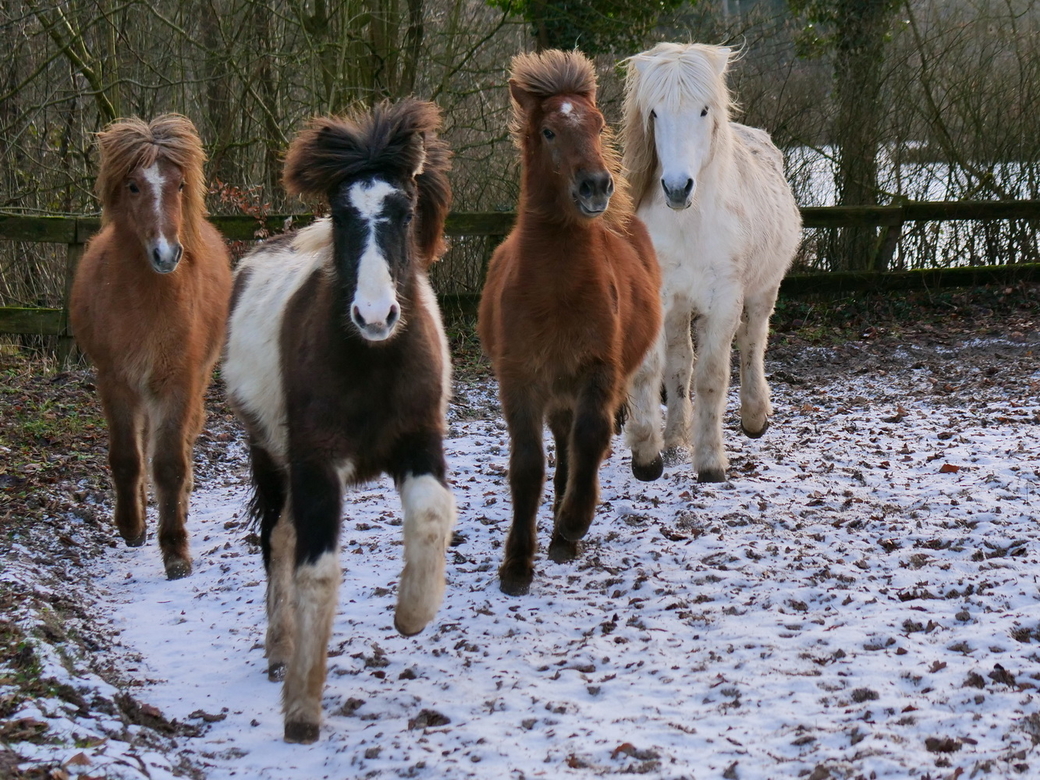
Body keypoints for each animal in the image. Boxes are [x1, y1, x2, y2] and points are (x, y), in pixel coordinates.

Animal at [70, 114, 231, 582]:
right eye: (133, 186)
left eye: (179, 185)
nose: (166, 253)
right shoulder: (116, 380)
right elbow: (127, 456)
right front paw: (131, 526)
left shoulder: (177, 381)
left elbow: (170, 464)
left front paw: (175, 550)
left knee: (186, 437)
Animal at [223, 97, 455, 744]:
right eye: (340, 213)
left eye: (405, 211)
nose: (375, 314)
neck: (371, 362)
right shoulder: (317, 463)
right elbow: (317, 573)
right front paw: (303, 709)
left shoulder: (419, 442)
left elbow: (432, 516)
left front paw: (412, 614)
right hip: (269, 453)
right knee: (277, 539)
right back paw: (280, 650)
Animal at [476, 50, 661, 599]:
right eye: (549, 132)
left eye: (598, 124)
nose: (596, 186)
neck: (555, 293)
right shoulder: (519, 381)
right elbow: (528, 467)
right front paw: (517, 564)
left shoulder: (599, 371)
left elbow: (591, 439)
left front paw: (573, 524)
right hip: (554, 392)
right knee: (560, 445)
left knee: (579, 444)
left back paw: (565, 528)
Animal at [619, 42, 798, 486]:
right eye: (653, 113)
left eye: (703, 111)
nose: (676, 188)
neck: (690, 223)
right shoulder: (659, 296)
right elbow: (654, 372)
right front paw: (647, 456)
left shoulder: (724, 301)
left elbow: (713, 377)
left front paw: (712, 461)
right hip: (680, 308)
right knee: (679, 365)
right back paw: (674, 440)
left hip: (762, 291)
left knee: (752, 342)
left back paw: (754, 417)